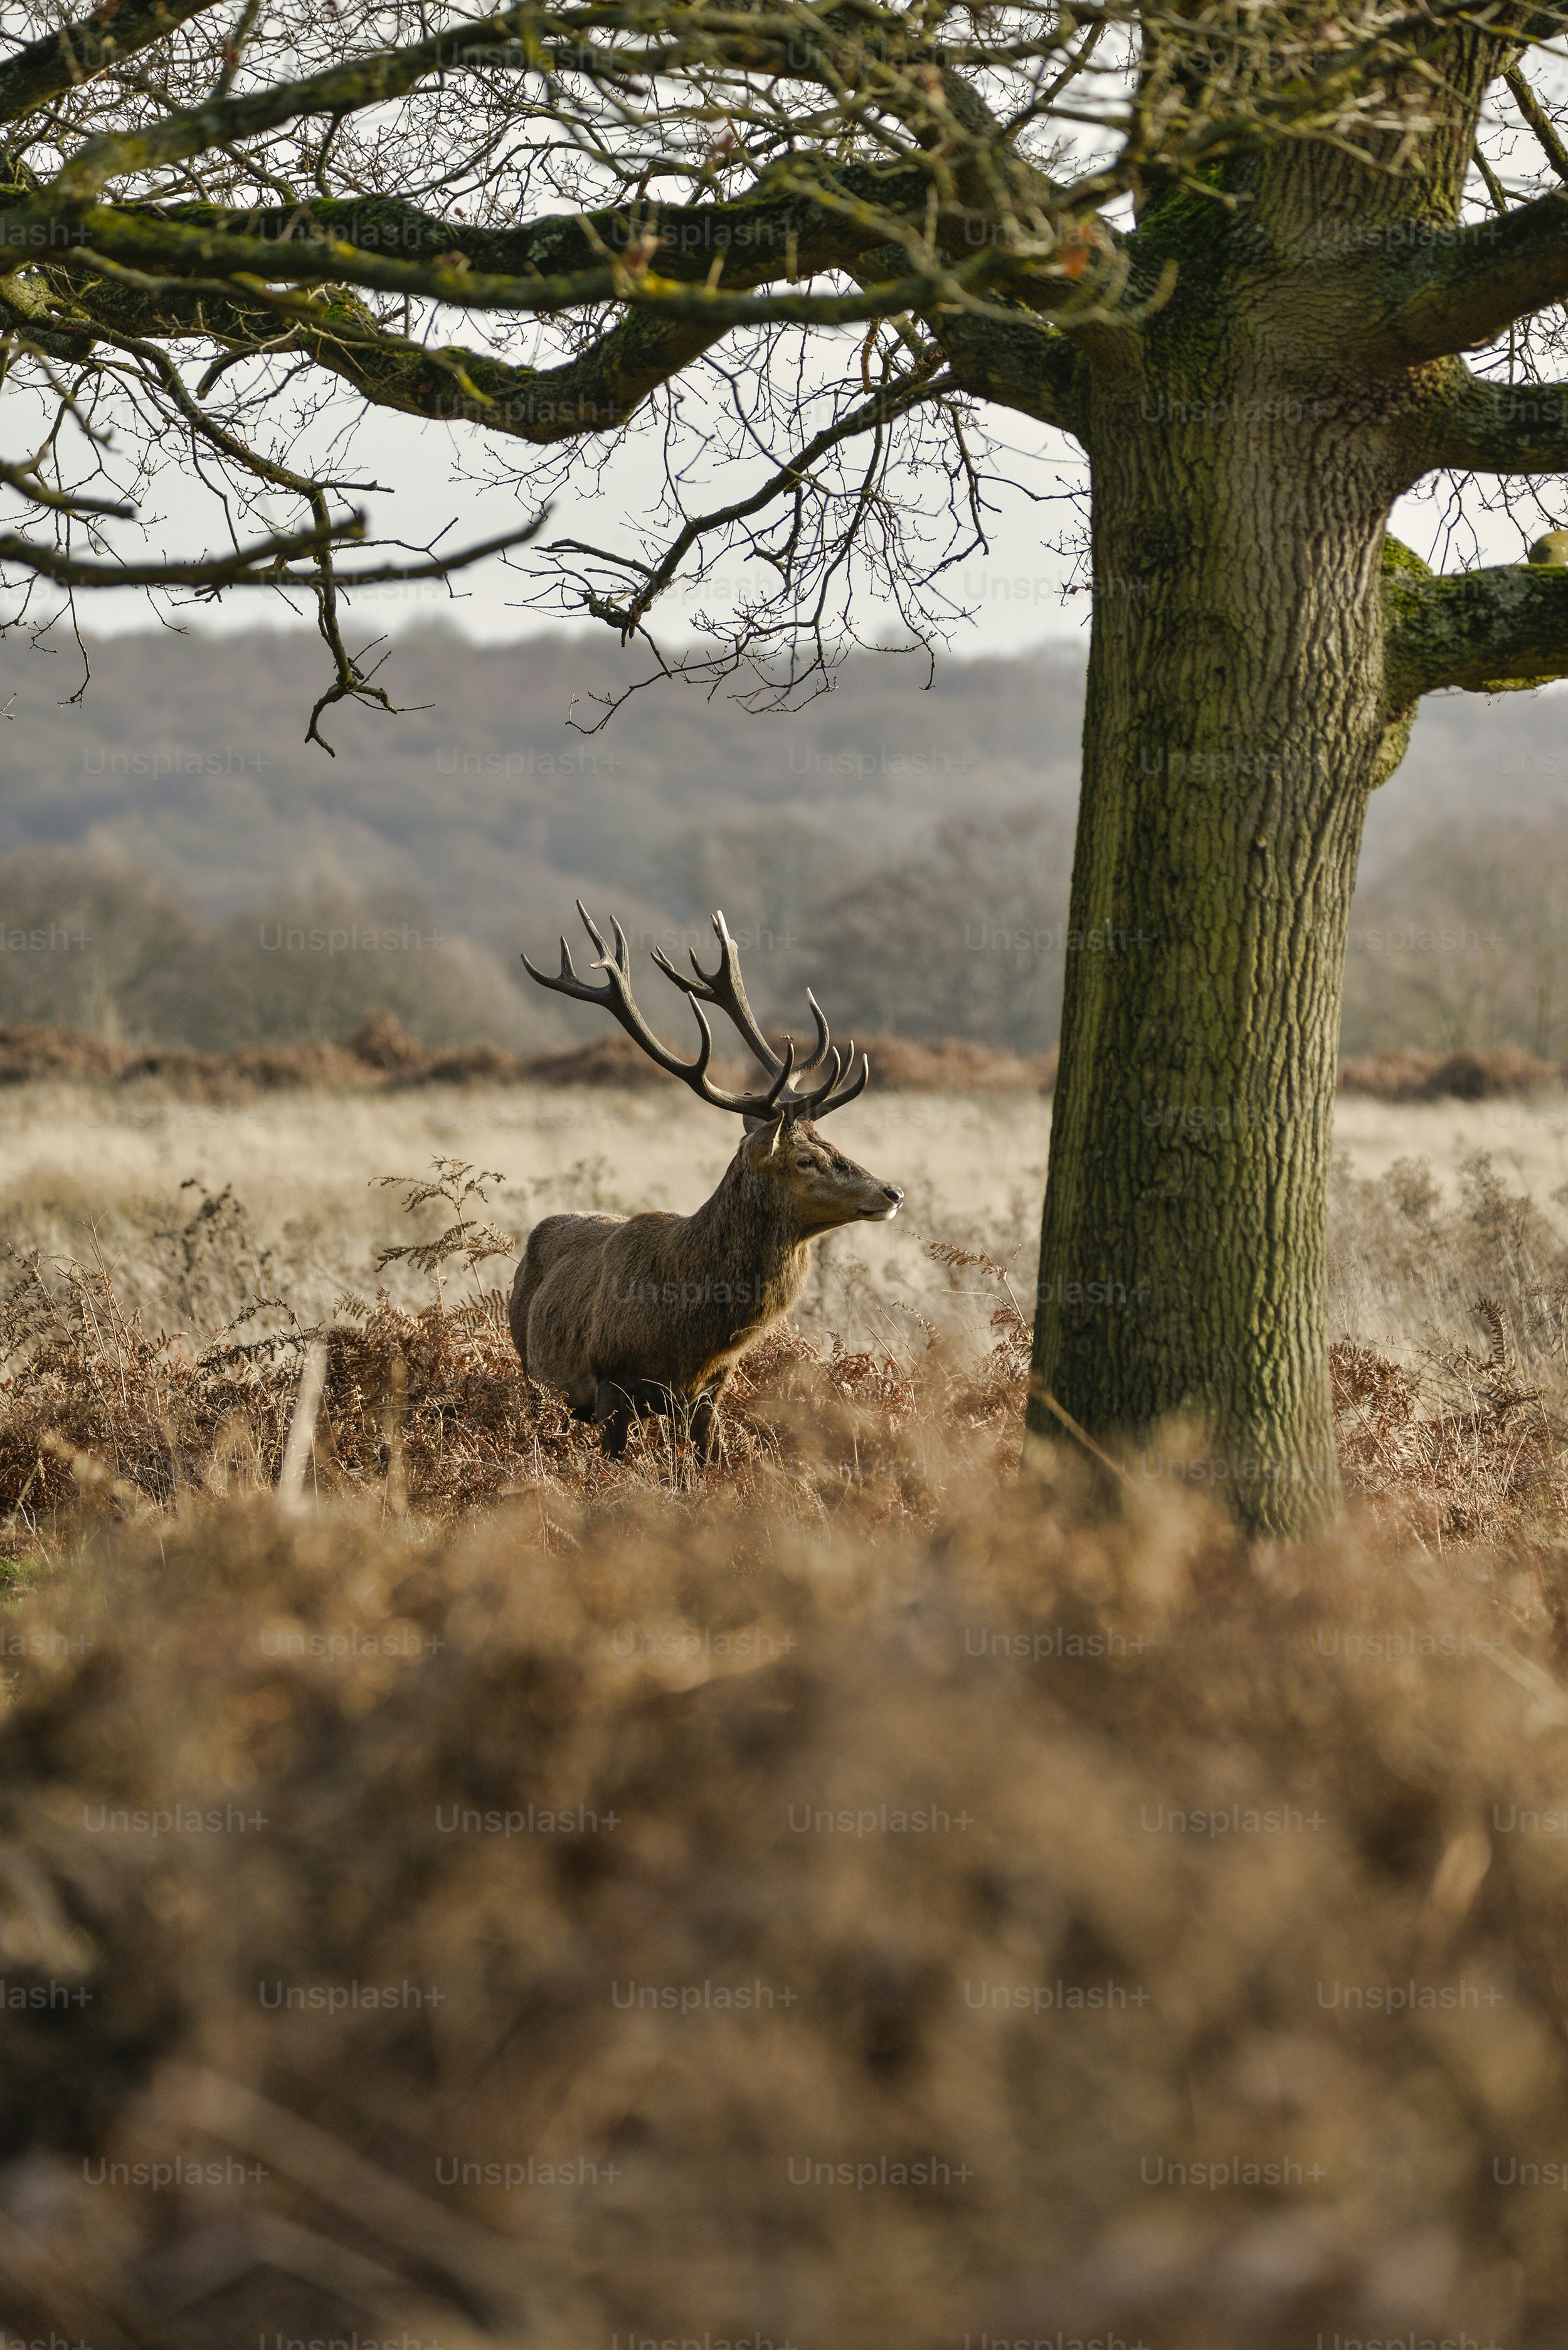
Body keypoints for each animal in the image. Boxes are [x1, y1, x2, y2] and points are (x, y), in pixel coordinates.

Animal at [510, 903, 903, 1462]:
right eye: (805, 1159)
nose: (892, 1192)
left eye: (830, 1142)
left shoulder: (711, 1393)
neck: (690, 1337)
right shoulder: (612, 1384)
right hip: (531, 1372)